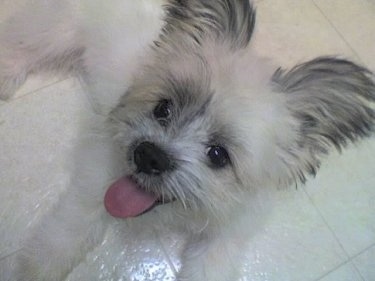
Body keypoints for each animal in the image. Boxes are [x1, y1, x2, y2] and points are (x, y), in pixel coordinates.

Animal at [0, 0, 375, 280]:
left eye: (218, 154)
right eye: (162, 109)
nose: (148, 155)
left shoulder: (228, 234)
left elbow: (212, 263)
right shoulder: (98, 173)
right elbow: (69, 230)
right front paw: (38, 270)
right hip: (60, 29)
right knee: (23, 41)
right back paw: (7, 74)